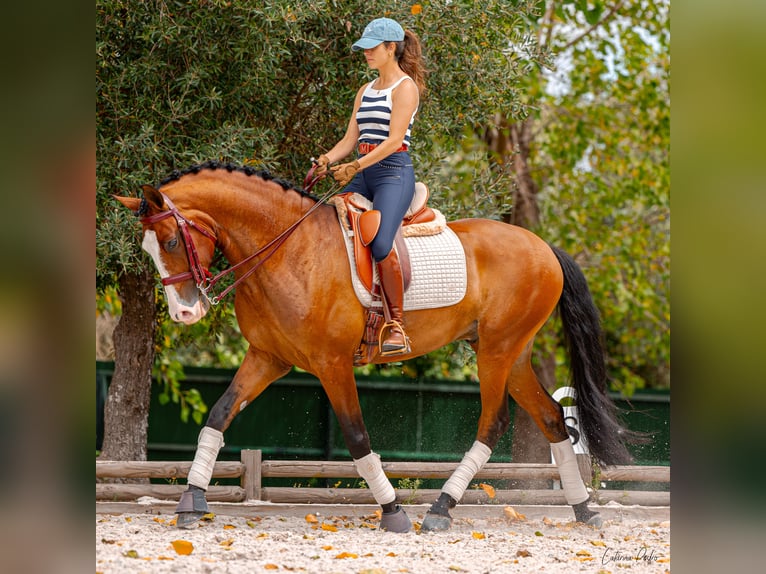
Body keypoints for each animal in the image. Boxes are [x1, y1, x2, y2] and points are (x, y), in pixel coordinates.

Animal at [117, 160, 636, 532]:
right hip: (514, 353)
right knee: (551, 418)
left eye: (171, 241)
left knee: (494, 423)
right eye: (148, 248)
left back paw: (440, 510)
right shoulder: (268, 358)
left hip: (496, 351)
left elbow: (356, 436)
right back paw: (584, 510)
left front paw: (392, 512)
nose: (185, 313)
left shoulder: (331, 364)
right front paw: (191, 500)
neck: (287, 249)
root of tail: (544, 247)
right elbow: (219, 415)